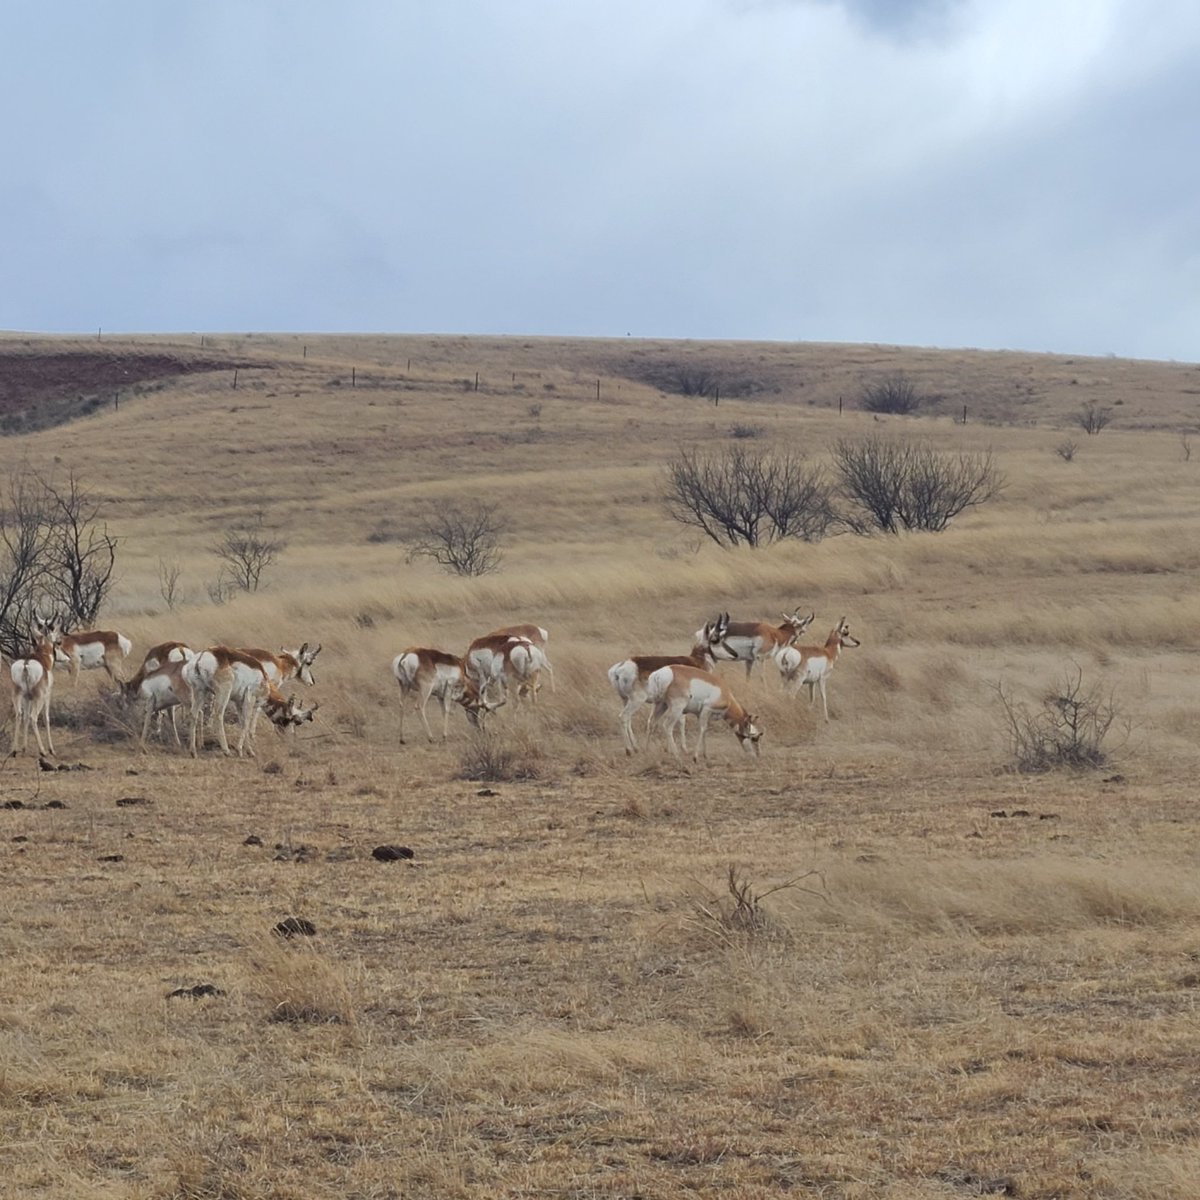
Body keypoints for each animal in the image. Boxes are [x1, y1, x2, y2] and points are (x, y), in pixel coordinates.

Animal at [9, 613, 63, 757]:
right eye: (54, 629)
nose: (59, 642)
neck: (42, 656)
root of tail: (26, 664)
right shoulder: (47, 696)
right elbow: (47, 718)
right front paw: (51, 749)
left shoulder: (27, 698)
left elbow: (26, 718)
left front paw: (24, 748)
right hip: (39, 699)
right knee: (34, 717)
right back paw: (42, 751)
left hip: (18, 695)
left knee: (19, 715)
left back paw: (14, 750)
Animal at [607, 616, 735, 754]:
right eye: (716, 639)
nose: (734, 654)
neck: (695, 660)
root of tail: (621, 667)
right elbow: (681, 722)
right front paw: (683, 748)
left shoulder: (662, 703)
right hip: (637, 700)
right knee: (623, 717)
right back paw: (629, 750)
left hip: (626, 700)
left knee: (628, 720)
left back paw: (636, 747)